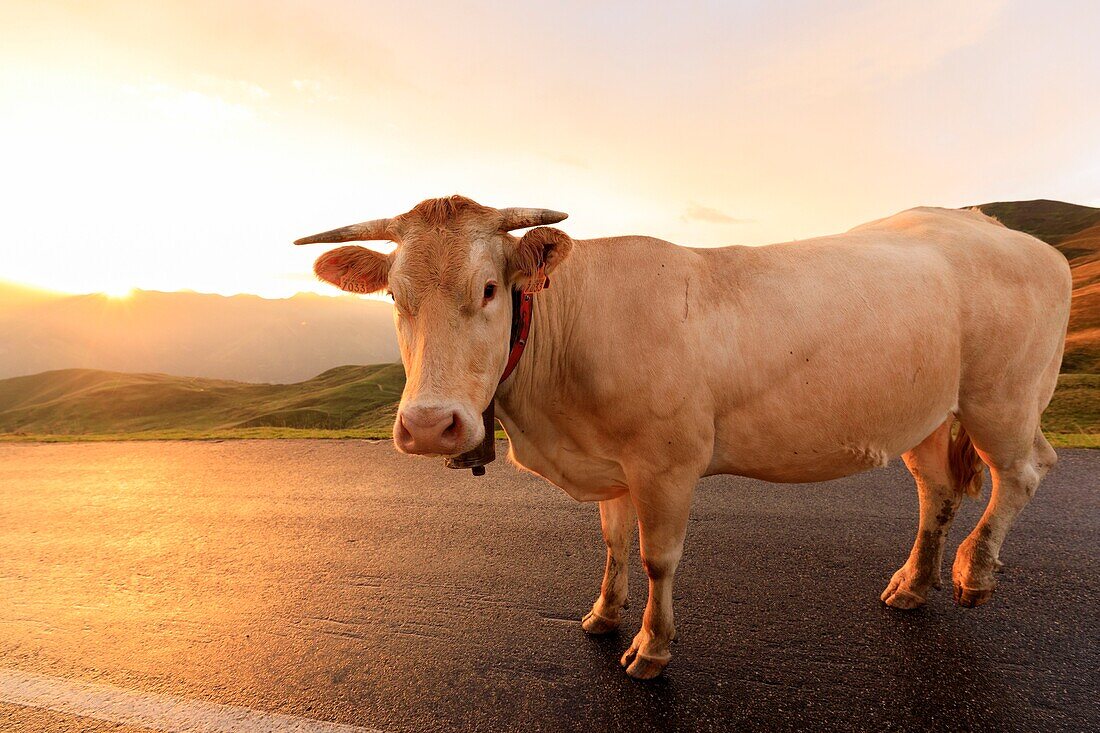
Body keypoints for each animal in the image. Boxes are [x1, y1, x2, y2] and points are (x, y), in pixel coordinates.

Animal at [297, 195, 1069, 677]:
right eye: (396, 295)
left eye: (489, 288)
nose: (431, 424)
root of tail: (1005, 233)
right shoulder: (609, 460)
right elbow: (612, 544)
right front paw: (603, 616)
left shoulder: (665, 462)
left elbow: (656, 556)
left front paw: (651, 648)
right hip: (927, 410)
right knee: (936, 490)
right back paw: (913, 583)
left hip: (1003, 397)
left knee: (1025, 471)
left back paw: (975, 573)